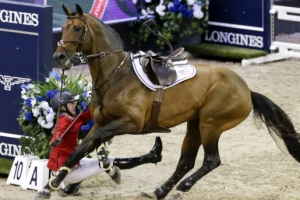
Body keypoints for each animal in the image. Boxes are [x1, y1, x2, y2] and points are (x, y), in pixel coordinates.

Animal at [44, 3, 300, 199]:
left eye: (77, 28)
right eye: (64, 28)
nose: (59, 57)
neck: (115, 76)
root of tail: (246, 89)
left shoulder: (130, 123)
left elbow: (94, 144)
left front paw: (103, 171)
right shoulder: (101, 123)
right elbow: (79, 150)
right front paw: (58, 183)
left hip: (211, 125)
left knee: (211, 160)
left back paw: (182, 187)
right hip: (194, 125)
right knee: (186, 161)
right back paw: (160, 190)